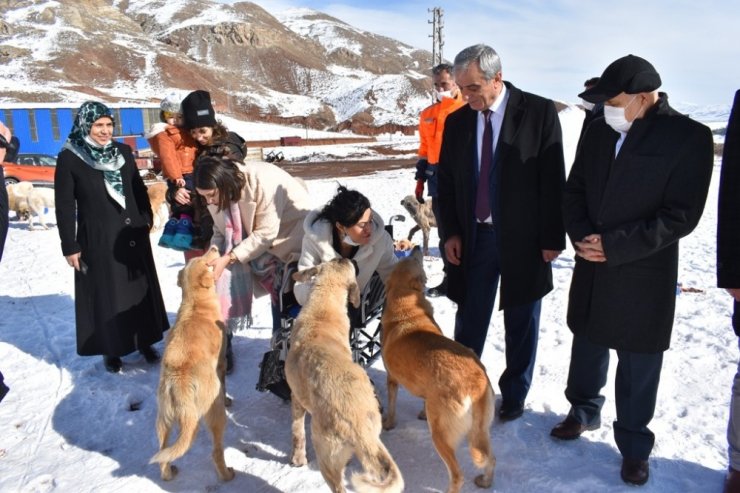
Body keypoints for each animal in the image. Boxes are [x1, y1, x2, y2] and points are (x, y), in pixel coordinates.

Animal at [149, 246, 233, 480]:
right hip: (215, 413)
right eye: (205, 261)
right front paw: (229, 399)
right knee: (216, 452)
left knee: (163, 454)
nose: (214, 247)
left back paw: (168, 473)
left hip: (163, 420)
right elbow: (225, 386)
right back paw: (227, 475)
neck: (195, 304)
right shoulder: (221, 363)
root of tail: (179, 383)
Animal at [284, 260, 402, 490]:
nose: (353, 260)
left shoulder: (296, 398)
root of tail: (359, 427)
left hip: (326, 457)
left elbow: (296, 432)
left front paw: (298, 459)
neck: (322, 311)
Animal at [382, 246, 498, 492]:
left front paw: (388, 423)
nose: (416, 247)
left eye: (415, 259)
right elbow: (423, 400)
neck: (405, 304)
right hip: (481, 431)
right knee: (490, 458)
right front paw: (420, 412)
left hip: (440, 435)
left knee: (457, 475)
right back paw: (485, 481)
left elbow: (392, 406)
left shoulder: (392, 379)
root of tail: (476, 382)